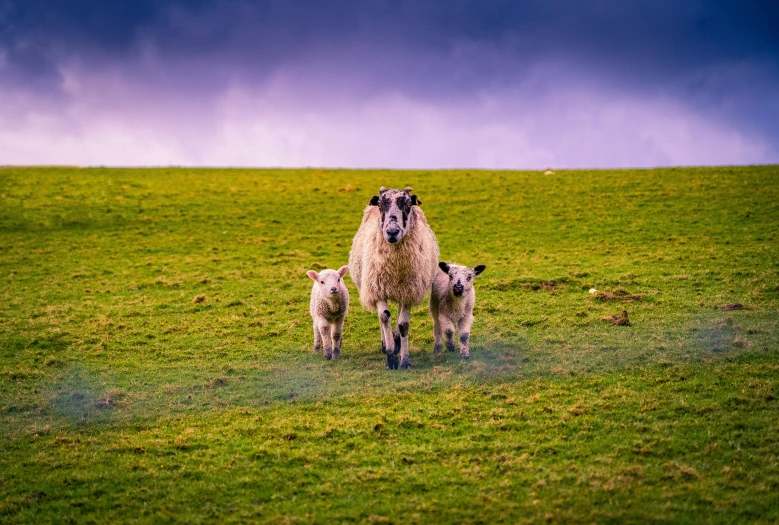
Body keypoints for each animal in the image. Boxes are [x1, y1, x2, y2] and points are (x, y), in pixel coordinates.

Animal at [352, 186, 442, 370]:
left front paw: (404, 360)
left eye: (408, 205)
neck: (395, 266)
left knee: (399, 315)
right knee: (382, 317)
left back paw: (396, 342)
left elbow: (403, 324)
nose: (392, 232)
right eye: (381, 205)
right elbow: (385, 317)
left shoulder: (408, 292)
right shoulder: (378, 289)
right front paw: (390, 357)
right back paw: (387, 344)